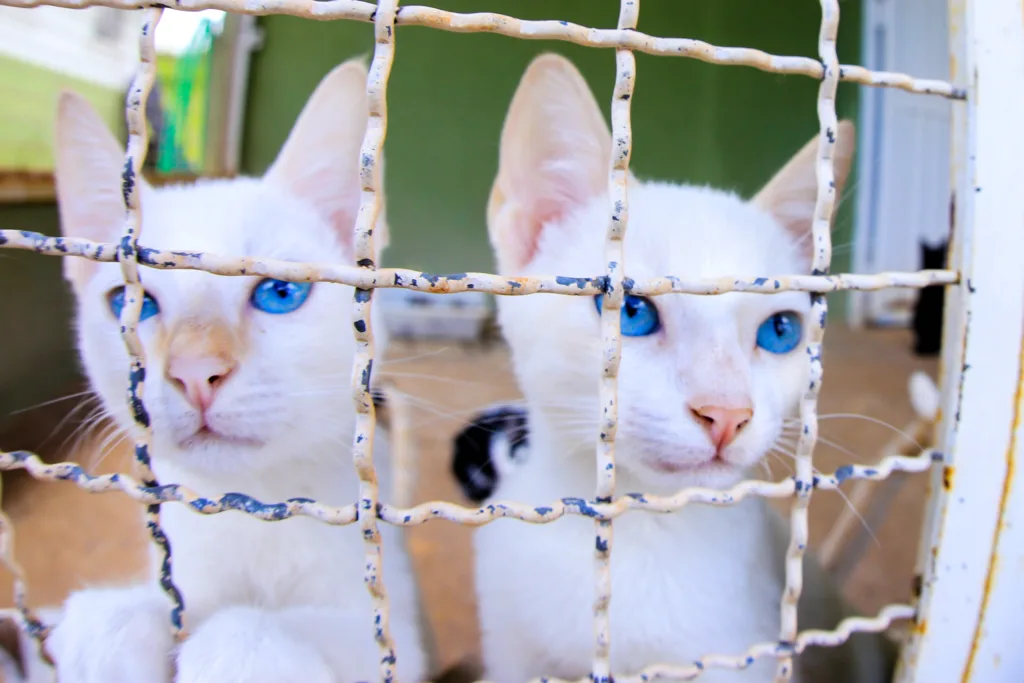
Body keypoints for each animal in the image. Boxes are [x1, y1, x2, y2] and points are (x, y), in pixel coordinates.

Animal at [40, 57, 428, 683]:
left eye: (280, 292)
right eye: (133, 305)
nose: (196, 373)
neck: (251, 506)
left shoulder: (397, 631)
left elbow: (356, 642)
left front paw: (242, 647)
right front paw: (111, 629)